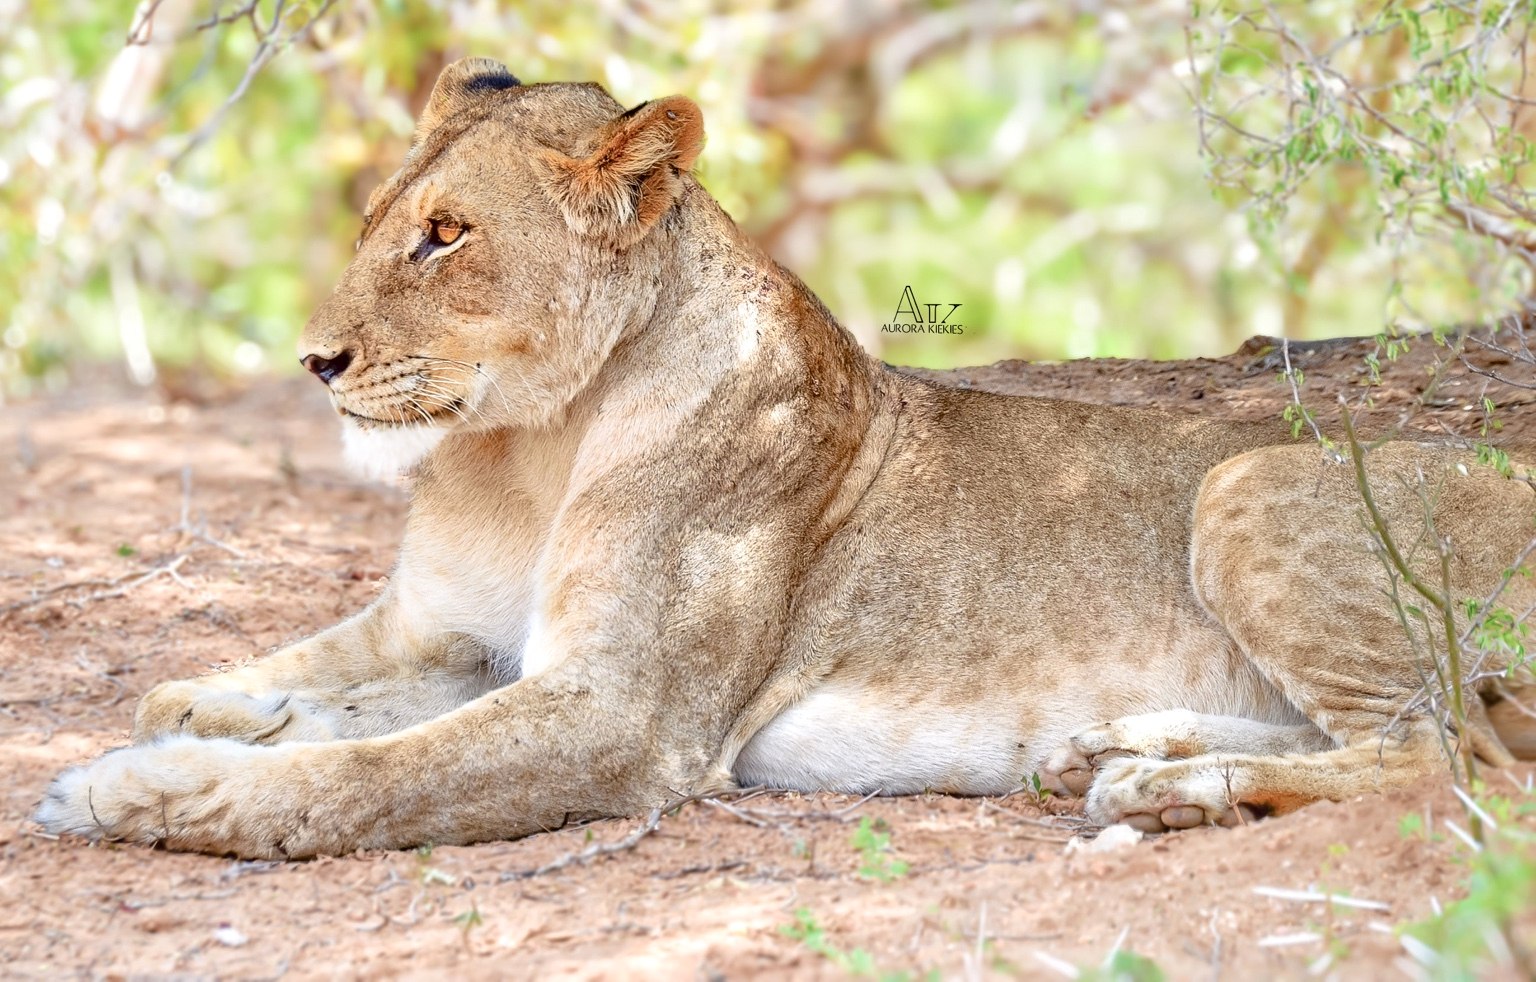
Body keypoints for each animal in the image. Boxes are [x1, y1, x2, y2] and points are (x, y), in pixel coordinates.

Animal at [34, 60, 1536, 858]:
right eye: (374, 221)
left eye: (446, 235)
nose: (315, 361)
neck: (527, 448)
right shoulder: (452, 639)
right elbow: (291, 686)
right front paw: (182, 713)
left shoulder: (625, 714)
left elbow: (365, 773)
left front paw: (138, 785)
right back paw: (1121, 746)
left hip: (1245, 479)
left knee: (1438, 749)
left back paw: (1169, 785)